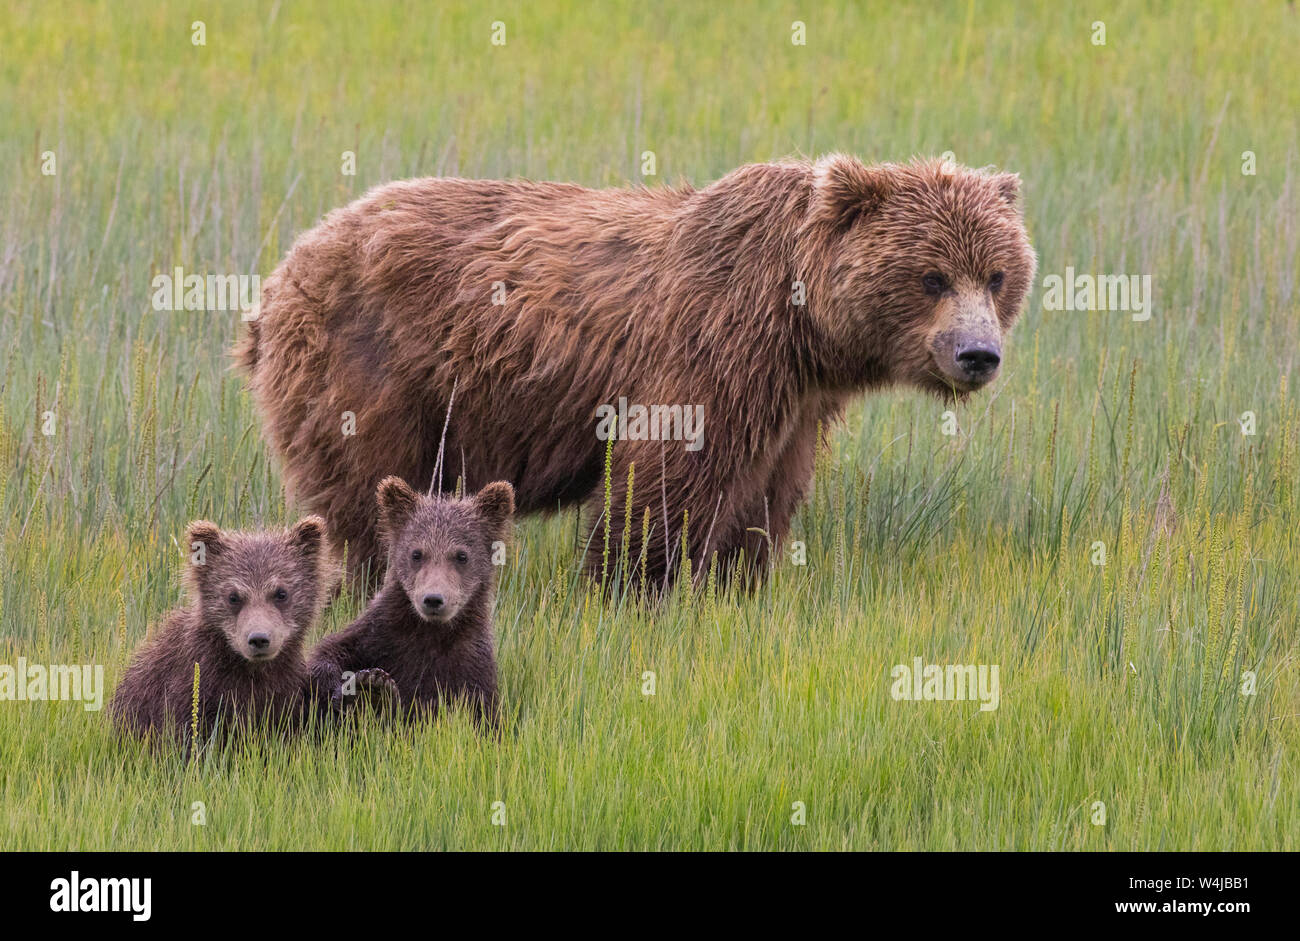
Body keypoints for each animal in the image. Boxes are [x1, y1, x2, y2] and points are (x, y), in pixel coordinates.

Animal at [236, 157, 1034, 592]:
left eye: (996, 274)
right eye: (932, 277)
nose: (977, 354)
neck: (801, 321)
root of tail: (281, 273)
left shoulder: (796, 401)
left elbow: (766, 495)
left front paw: (739, 582)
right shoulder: (711, 348)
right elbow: (665, 479)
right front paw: (632, 584)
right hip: (374, 370)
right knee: (368, 494)